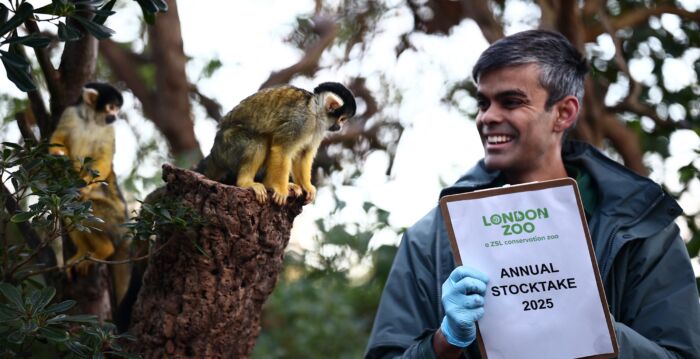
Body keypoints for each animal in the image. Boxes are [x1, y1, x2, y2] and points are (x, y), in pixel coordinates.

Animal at [50, 83, 131, 304]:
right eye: (111, 107)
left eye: (117, 109)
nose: (115, 116)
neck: (91, 120)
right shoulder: (70, 114)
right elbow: (58, 138)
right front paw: (55, 154)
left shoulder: (109, 130)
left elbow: (103, 158)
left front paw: (85, 186)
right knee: (69, 208)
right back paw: (82, 253)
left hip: (115, 221)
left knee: (88, 208)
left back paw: (105, 249)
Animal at [200, 82, 358, 205]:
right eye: (342, 119)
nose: (340, 127)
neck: (315, 112)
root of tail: (214, 154)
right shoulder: (300, 121)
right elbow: (282, 149)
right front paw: (280, 189)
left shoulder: (318, 128)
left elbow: (303, 154)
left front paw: (307, 186)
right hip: (228, 145)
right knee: (258, 141)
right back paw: (247, 182)